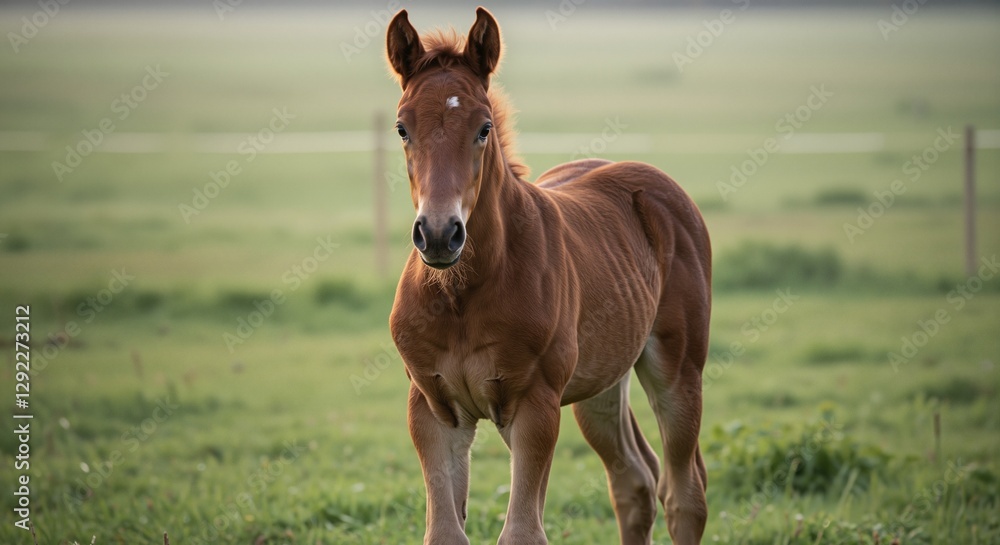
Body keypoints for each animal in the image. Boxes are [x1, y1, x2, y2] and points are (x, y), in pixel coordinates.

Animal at [386, 8, 711, 545]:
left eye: (484, 127)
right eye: (401, 128)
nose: (438, 234)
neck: (462, 295)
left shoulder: (535, 406)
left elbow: (522, 531)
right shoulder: (432, 408)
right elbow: (446, 531)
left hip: (678, 369)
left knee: (684, 493)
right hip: (599, 385)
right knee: (634, 479)